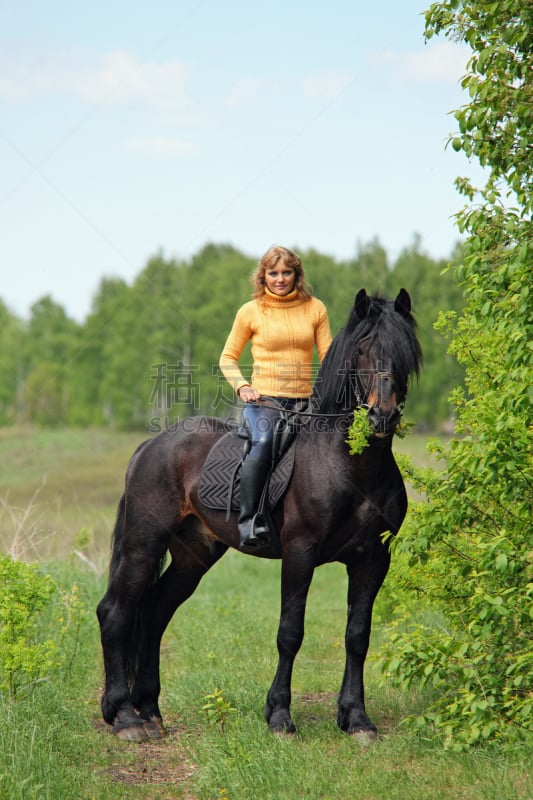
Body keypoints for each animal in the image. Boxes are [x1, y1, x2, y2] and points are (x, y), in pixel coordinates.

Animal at [95, 290, 420, 744]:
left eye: (404, 350)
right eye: (361, 350)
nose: (381, 417)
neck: (352, 466)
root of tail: (150, 445)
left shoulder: (373, 559)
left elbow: (358, 636)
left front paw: (356, 719)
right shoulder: (301, 552)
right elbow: (290, 632)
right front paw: (280, 716)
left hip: (193, 555)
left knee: (156, 611)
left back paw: (151, 713)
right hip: (144, 543)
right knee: (116, 611)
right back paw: (125, 716)